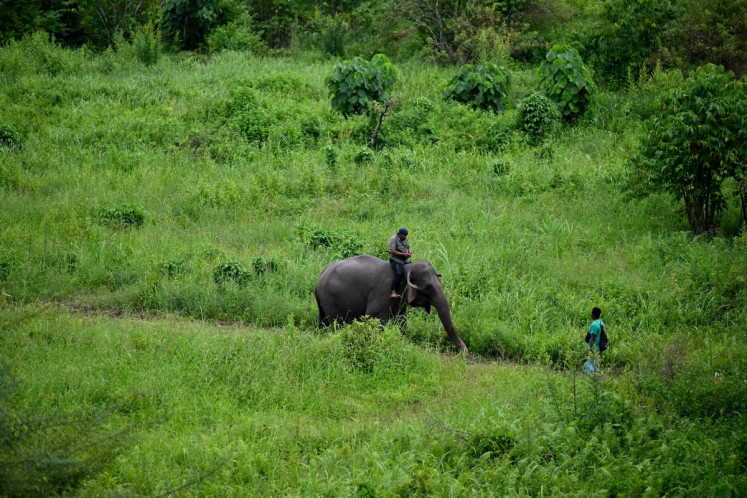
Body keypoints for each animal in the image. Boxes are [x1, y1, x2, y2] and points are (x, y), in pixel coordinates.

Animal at [315, 255, 469, 355]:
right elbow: (376, 320)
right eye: (428, 289)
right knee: (336, 323)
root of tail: (321, 275)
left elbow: (402, 321)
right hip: (330, 298)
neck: (406, 268)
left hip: (323, 300)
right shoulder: (383, 293)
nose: (465, 353)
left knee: (322, 321)